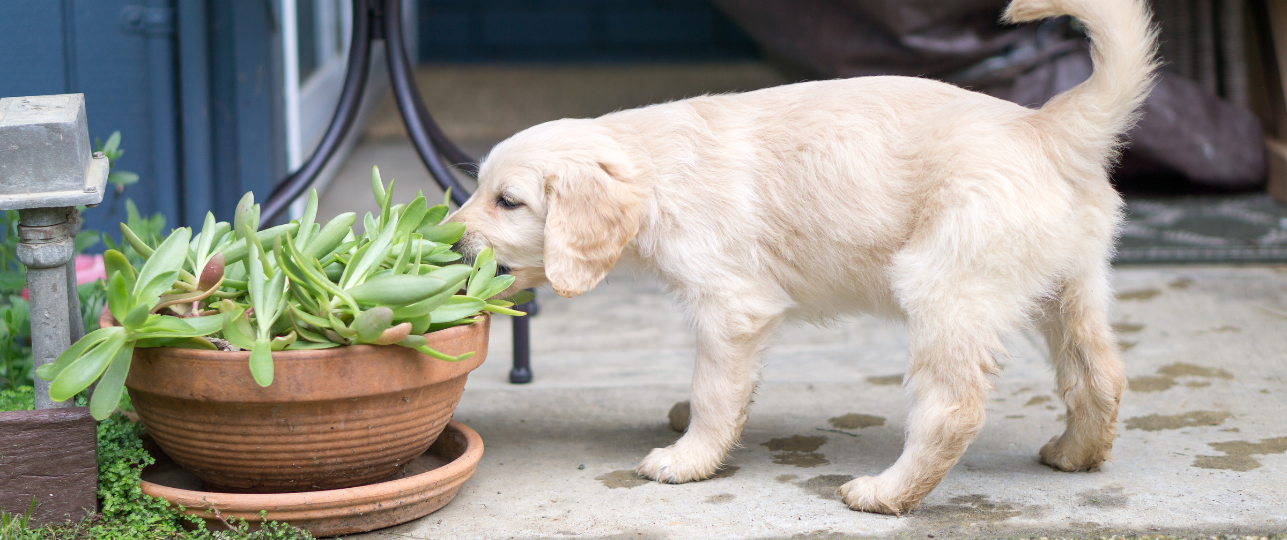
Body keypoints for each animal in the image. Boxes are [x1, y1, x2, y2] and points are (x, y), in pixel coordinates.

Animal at [450, 0, 1158, 514]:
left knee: (952, 408)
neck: (654, 169)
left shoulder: (732, 305)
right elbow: (724, 386)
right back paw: (1074, 453)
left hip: (945, 284)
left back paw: (886, 493)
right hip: (1070, 285)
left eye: (508, 202)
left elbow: (714, 390)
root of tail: (1047, 127)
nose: (452, 243)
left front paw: (688, 456)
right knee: (1099, 373)